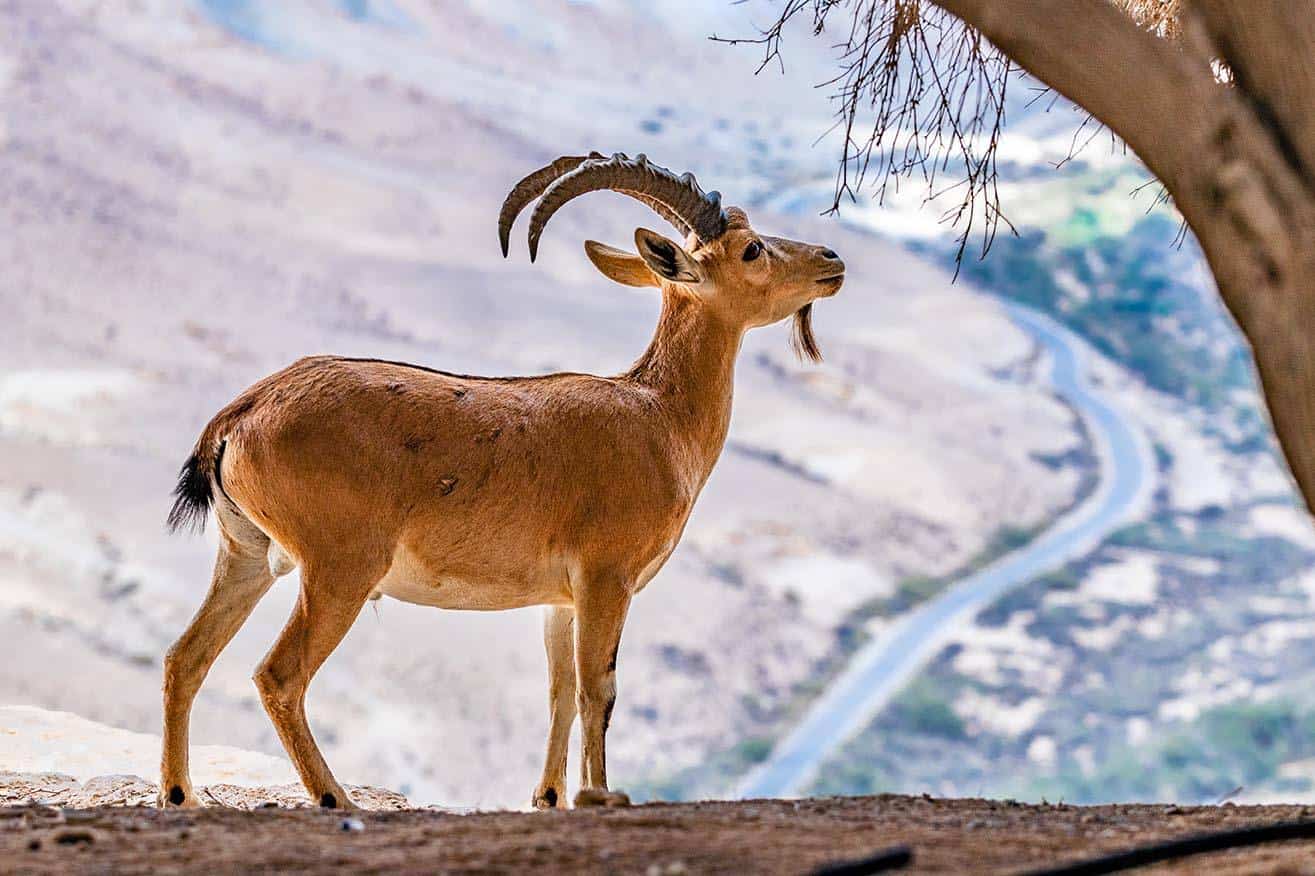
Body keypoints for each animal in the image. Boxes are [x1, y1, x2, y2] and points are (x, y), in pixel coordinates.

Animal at [159, 152, 845, 810]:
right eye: (751, 248)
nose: (831, 261)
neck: (660, 416)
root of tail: (238, 415)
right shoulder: (607, 578)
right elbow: (599, 690)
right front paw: (600, 795)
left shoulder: (560, 598)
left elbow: (560, 692)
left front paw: (550, 798)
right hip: (339, 568)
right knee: (279, 675)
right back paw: (332, 796)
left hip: (245, 555)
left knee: (185, 657)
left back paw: (179, 793)